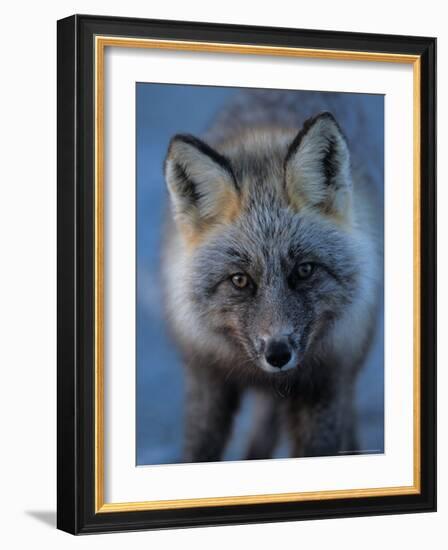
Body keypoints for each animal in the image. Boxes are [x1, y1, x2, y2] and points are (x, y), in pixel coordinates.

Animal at [160, 91, 382, 466]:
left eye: (304, 270)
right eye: (239, 280)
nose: (278, 353)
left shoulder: (327, 385)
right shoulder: (207, 379)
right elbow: (198, 451)